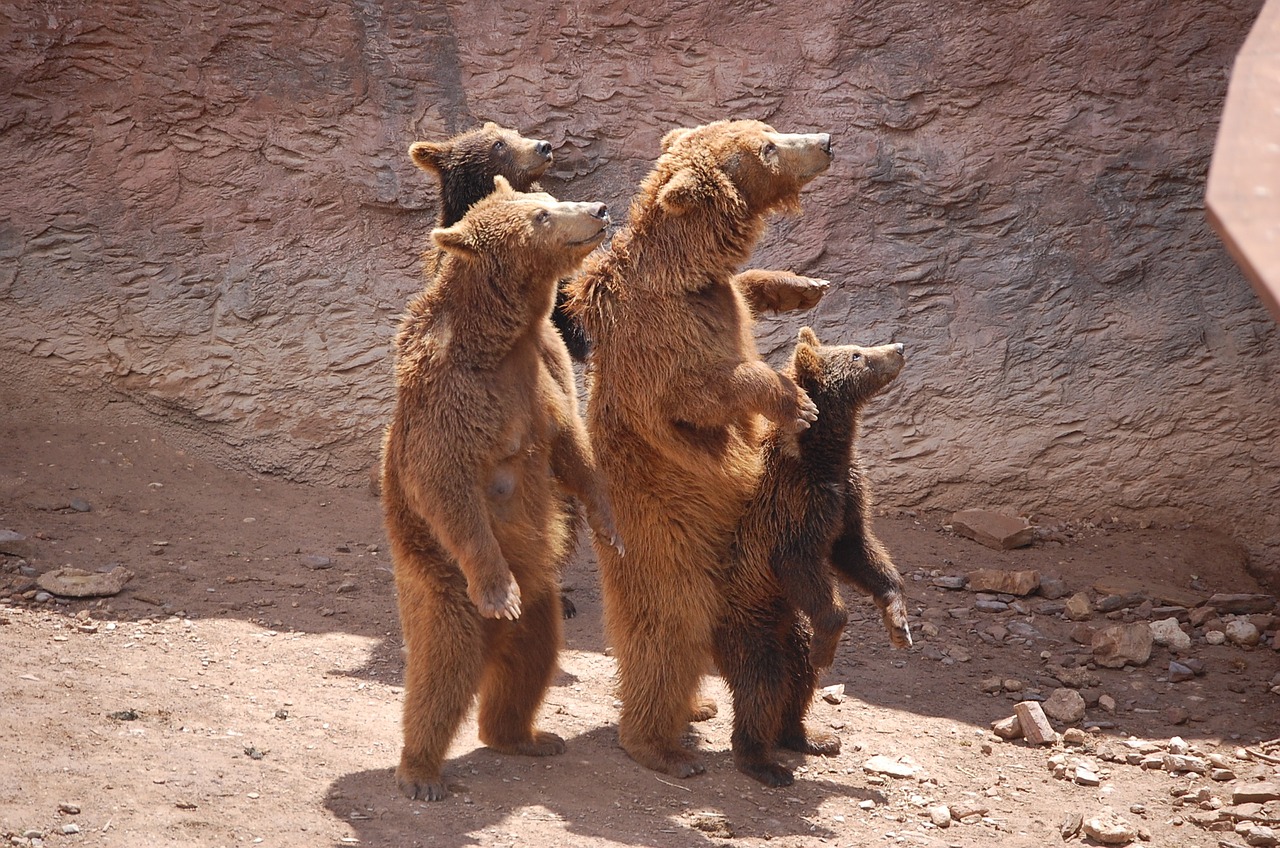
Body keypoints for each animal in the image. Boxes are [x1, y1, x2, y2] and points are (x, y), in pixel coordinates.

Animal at [378, 178, 619, 804]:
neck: (503, 338)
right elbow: (444, 479)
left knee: (531, 658)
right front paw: (497, 589)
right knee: (443, 668)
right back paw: (421, 772)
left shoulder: (547, 369)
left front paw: (610, 525)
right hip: (438, 579)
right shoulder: (450, 389)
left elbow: (572, 446)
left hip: (540, 600)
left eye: (550, 197)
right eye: (540, 216)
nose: (599, 209)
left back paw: (526, 736)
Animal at [565, 119, 834, 783]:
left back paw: (713, 710)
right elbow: (704, 392)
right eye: (768, 147)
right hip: (669, 537)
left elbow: (746, 287)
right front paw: (797, 401)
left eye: (769, 130)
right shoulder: (665, 337)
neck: (687, 274)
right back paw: (661, 746)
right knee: (668, 633)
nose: (826, 142)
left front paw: (803, 284)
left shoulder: (718, 296)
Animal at [711, 327, 911, 789]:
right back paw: (762, 761)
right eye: (856, 354)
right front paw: (830, 648)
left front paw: (898, 620)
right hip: (746, 615)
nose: (898, 347)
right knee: (763, 678)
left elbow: (857, 549)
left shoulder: (845, 493)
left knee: (798, 673)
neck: (822, 454)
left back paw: (808, 735)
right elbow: (801, 564)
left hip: (788, 619)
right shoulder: (791, 507)